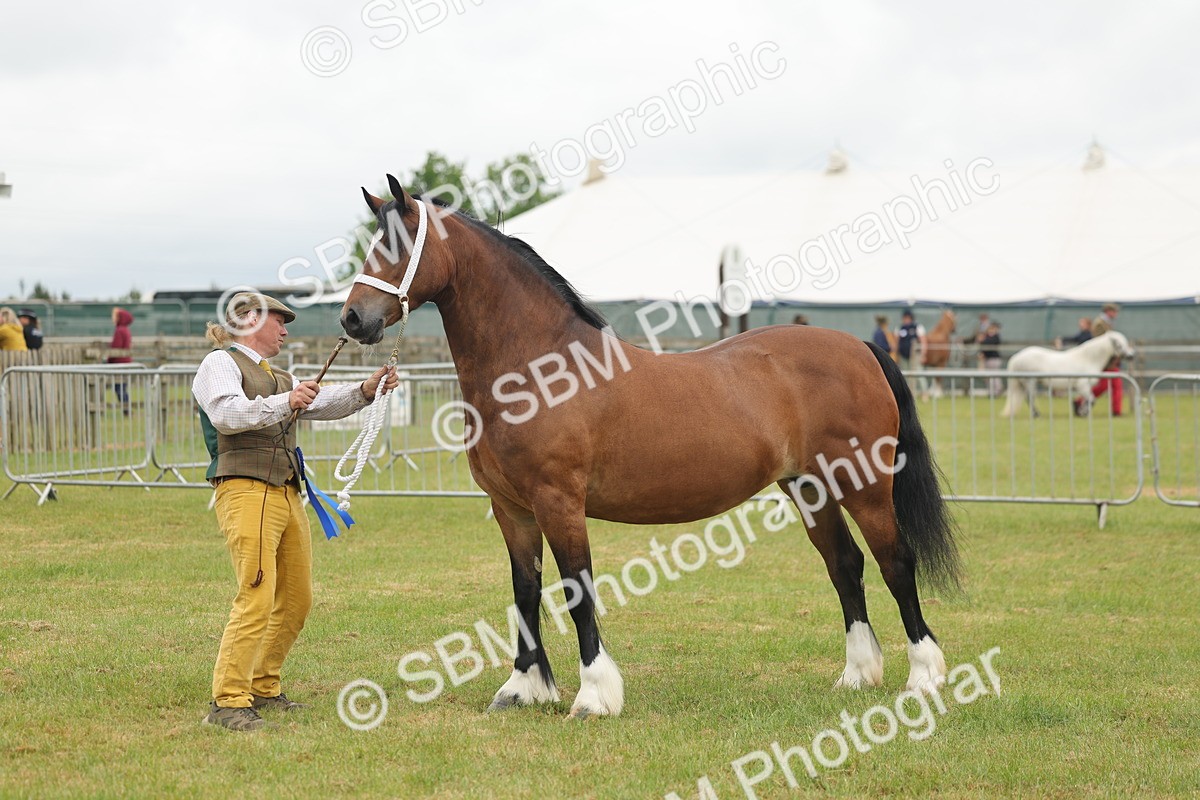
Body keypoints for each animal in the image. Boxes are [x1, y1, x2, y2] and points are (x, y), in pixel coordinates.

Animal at [339, 176, 961, 719]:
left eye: (397, 247)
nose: (352, 318)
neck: (539, 368)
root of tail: (859, 347)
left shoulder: (559, 502)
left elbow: (577, 591)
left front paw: (594, 696)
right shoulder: (512, 509)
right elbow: (525, 591)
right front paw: (521, 690)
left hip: (865, 485)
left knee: (895, 562)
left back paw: (923, 677)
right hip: (810, 488)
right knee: (846, 565)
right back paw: (857, 675)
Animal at [1000, 331, 1135, 418]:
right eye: (1119, 344)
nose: (1131, 356)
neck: (1088, 359)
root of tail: (1017, 357)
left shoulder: (1084, 387)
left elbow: (1089, 399)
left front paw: (1081, 411)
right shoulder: (1082, 385)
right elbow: (1091, 400)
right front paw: (1083, 413)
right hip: (1030, 382)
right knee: (1030, 398)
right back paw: (1036, 415)